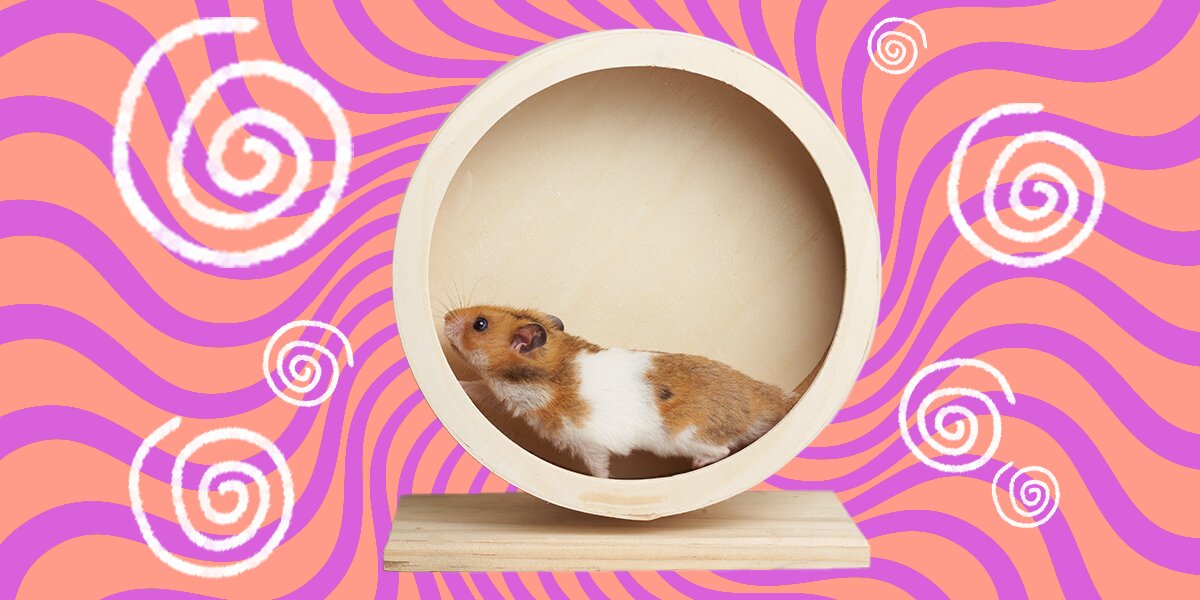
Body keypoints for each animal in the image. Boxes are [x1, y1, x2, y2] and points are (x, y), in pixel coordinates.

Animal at [443, 305, 820, 479]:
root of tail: (771, 399)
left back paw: (698, 464)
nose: (445, 317)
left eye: (480, 324)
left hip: (689, 436)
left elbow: (599, 468)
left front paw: (602, 484)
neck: (548, 373)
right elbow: (477, 388)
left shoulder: (588, 443)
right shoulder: (500, 393)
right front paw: (455, 385)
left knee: (722, 450)